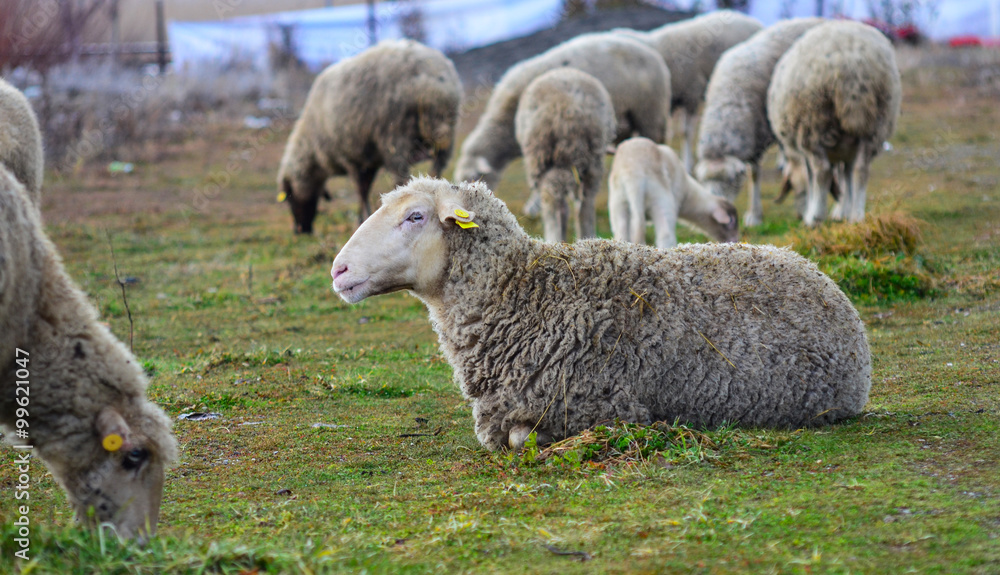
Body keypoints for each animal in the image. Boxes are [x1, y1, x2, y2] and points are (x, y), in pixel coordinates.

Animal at [277, 39, 461, 233]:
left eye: (290, 197)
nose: (299, 230)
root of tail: (434, 85)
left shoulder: (351, 157)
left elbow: (361, 189)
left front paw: (362, 217)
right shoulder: (367, 159)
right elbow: (365, 187)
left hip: (397, 137)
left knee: (401, 176)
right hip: (445, 135)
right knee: (437, 169)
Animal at [608, 137, 739, 249]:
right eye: (731, 223)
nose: (736, 241)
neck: (688, 196)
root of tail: (632, 172)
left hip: (618, 203)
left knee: (621, 233)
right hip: (662, 200)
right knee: (665, 234)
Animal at [695, 18, 826, 227]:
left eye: (731, 182)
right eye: (705, 184)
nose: (718, 213)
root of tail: (817, 19)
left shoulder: (756, 137)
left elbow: (754, 175)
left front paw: (754, 216)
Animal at [768, 20, 902, 226]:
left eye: (794, 189)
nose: (798, 215)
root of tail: (853, 67)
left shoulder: (806, 149)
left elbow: (812, 178)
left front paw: (813, 211)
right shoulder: (847, 150)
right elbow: (847, 176)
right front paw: (844, 211)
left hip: (813, 123)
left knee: (822, 171)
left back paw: (815, 218)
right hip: (875, 124)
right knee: (861, 170)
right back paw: (857, 216)